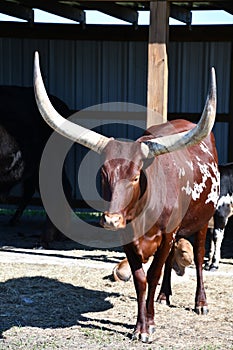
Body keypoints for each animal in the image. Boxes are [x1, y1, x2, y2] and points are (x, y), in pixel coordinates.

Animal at [33, 52, 219, 342]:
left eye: (135, 176)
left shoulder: (167, 234)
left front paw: (149, 326)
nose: (110, 220)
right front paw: (140, 326)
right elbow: (141, 279)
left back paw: (201, 303)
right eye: (103, 173)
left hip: (203, 221)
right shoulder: (129, 240)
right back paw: (164, 296)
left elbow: (153, 274)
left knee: (199, 258)